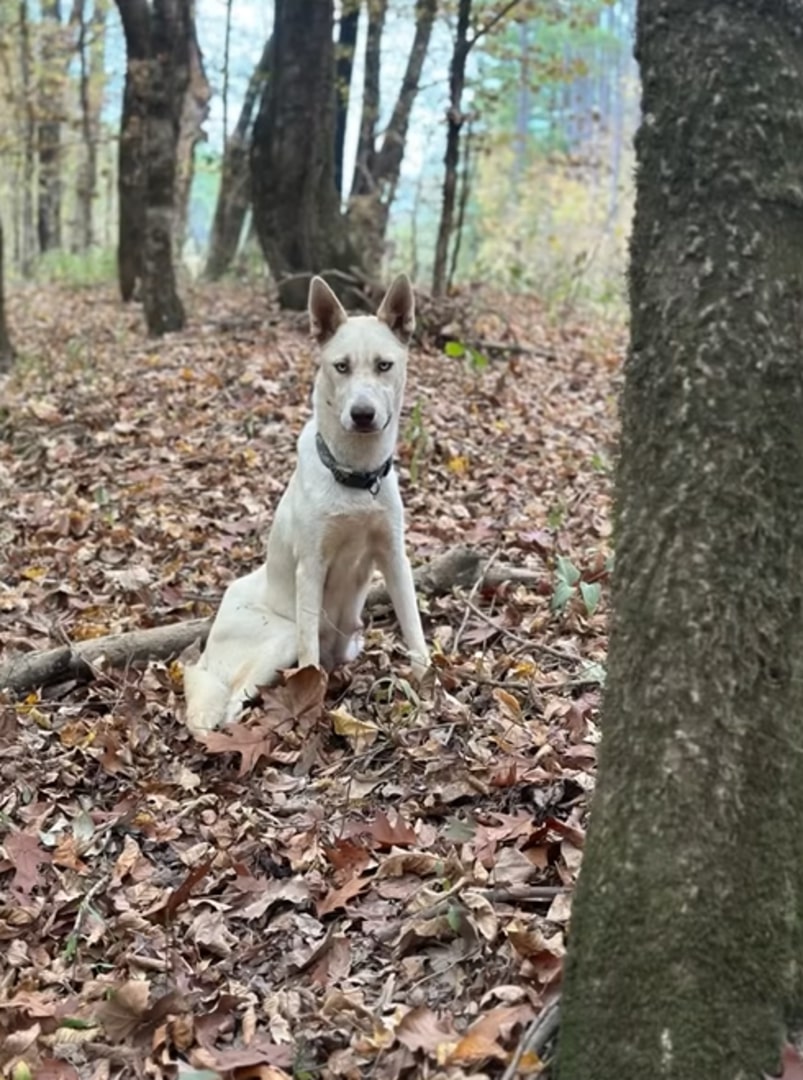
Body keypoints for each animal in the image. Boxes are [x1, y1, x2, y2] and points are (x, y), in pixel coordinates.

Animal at [184, 276, 429, 734]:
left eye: (384, 365)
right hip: (280, 635)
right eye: (341, 366)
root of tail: (205, 655)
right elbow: (310, 660)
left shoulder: (394, 557)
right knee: (231, 701)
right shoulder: (311, 567)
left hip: (350, 640)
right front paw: (312, 703)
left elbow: (414, 628)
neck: (355, 478)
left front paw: (431, 684)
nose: (363, 414)